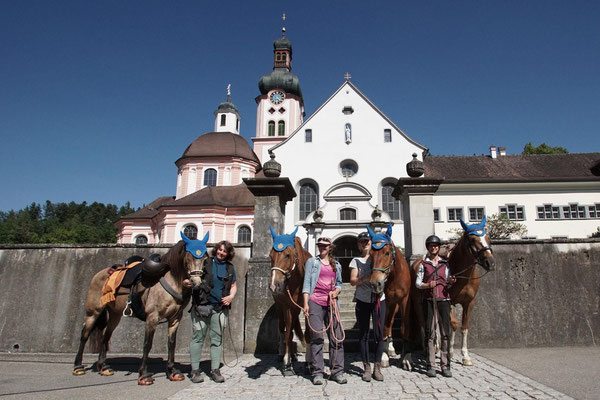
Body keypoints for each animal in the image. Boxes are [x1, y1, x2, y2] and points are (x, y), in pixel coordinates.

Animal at [72, 231, 210, 384]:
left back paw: (103, 367)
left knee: (106, 336)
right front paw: (143, 374)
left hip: (115, 314)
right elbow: (147, 344)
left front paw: (172, 372)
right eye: (186, 260)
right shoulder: (152, 316)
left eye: (205, 259)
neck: (172, 281)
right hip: (93, 311)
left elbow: (171, 343)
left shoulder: (175, 317)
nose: (196, 283)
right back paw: (78, 366)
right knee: (84, 335)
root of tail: (100, 273)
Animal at [268, 227, 314, 376]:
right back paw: (282, 355)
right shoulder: (288, 306)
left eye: (287, 255)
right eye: (270, 256)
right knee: (283, 328)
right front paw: (287, 364)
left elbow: (307, 334)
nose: (273, 285)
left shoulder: (307, 307)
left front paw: (309, 364)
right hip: (280, 307)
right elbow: (287, 334)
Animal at [368, 223, 414, 368]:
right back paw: (389, 348)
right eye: (370, 254)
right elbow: (385, 326)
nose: (375, 283)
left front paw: (406, 357)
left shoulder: (405, 300)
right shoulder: (386, 301)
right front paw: (383, 356)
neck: (394, 277)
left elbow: (405, 327)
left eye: (387, 253)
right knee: (389, 324)